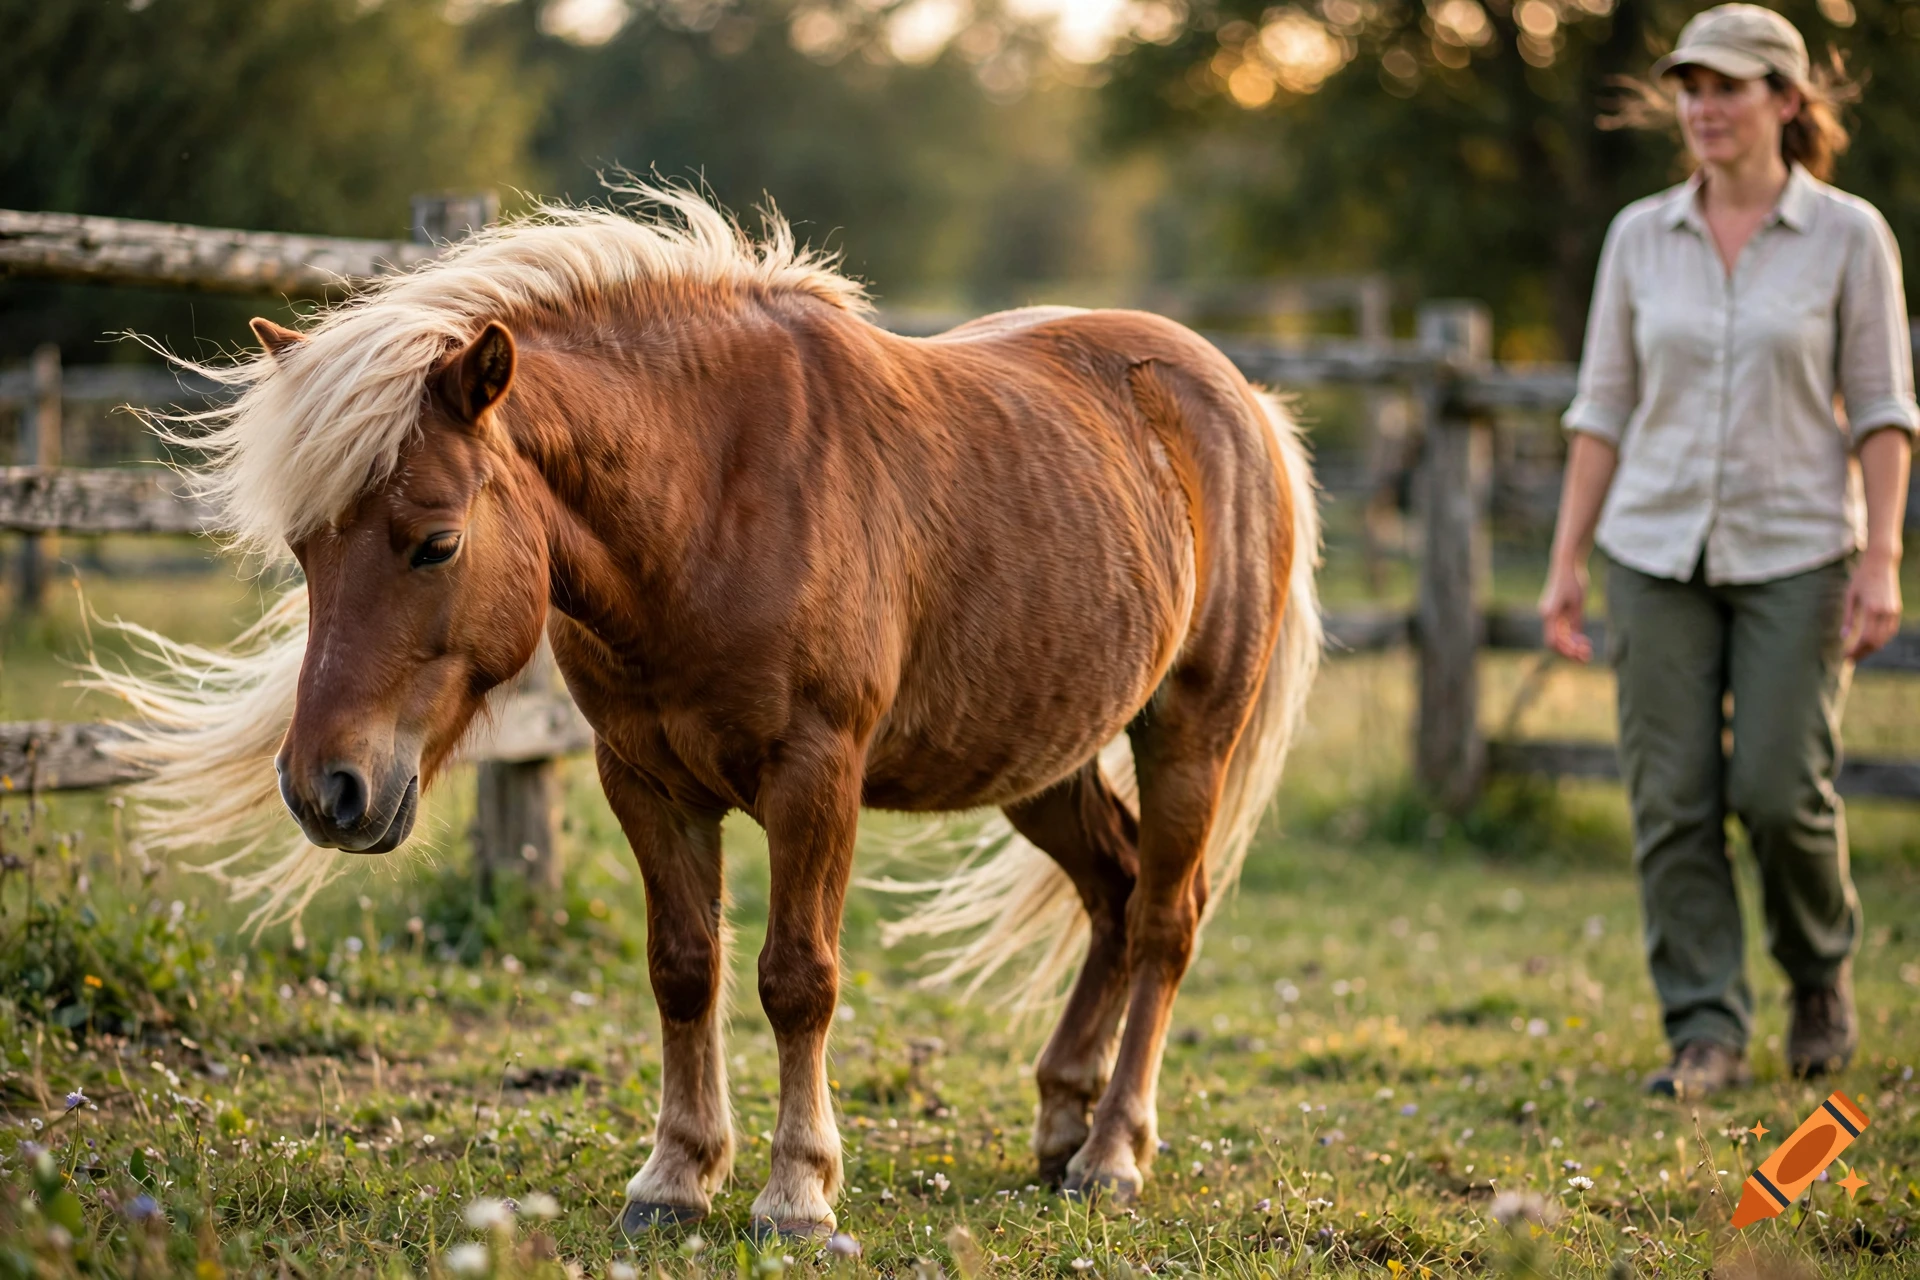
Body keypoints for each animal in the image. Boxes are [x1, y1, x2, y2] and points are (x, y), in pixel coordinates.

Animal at [99, 188, 1321, 1238]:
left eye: (435, 541)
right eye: (304, 550)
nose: (327, 790)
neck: (713, 498)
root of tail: (1240, 401)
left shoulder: (813, 777)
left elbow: (796, 978)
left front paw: (798, 1193)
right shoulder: (644, 776)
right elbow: (684, 967)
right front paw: (675, 1178)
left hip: (1187, 734)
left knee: (1163, 919)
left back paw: (1112, 1153)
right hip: (1042, 754)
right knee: (1112, 891)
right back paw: (1063, 1121)